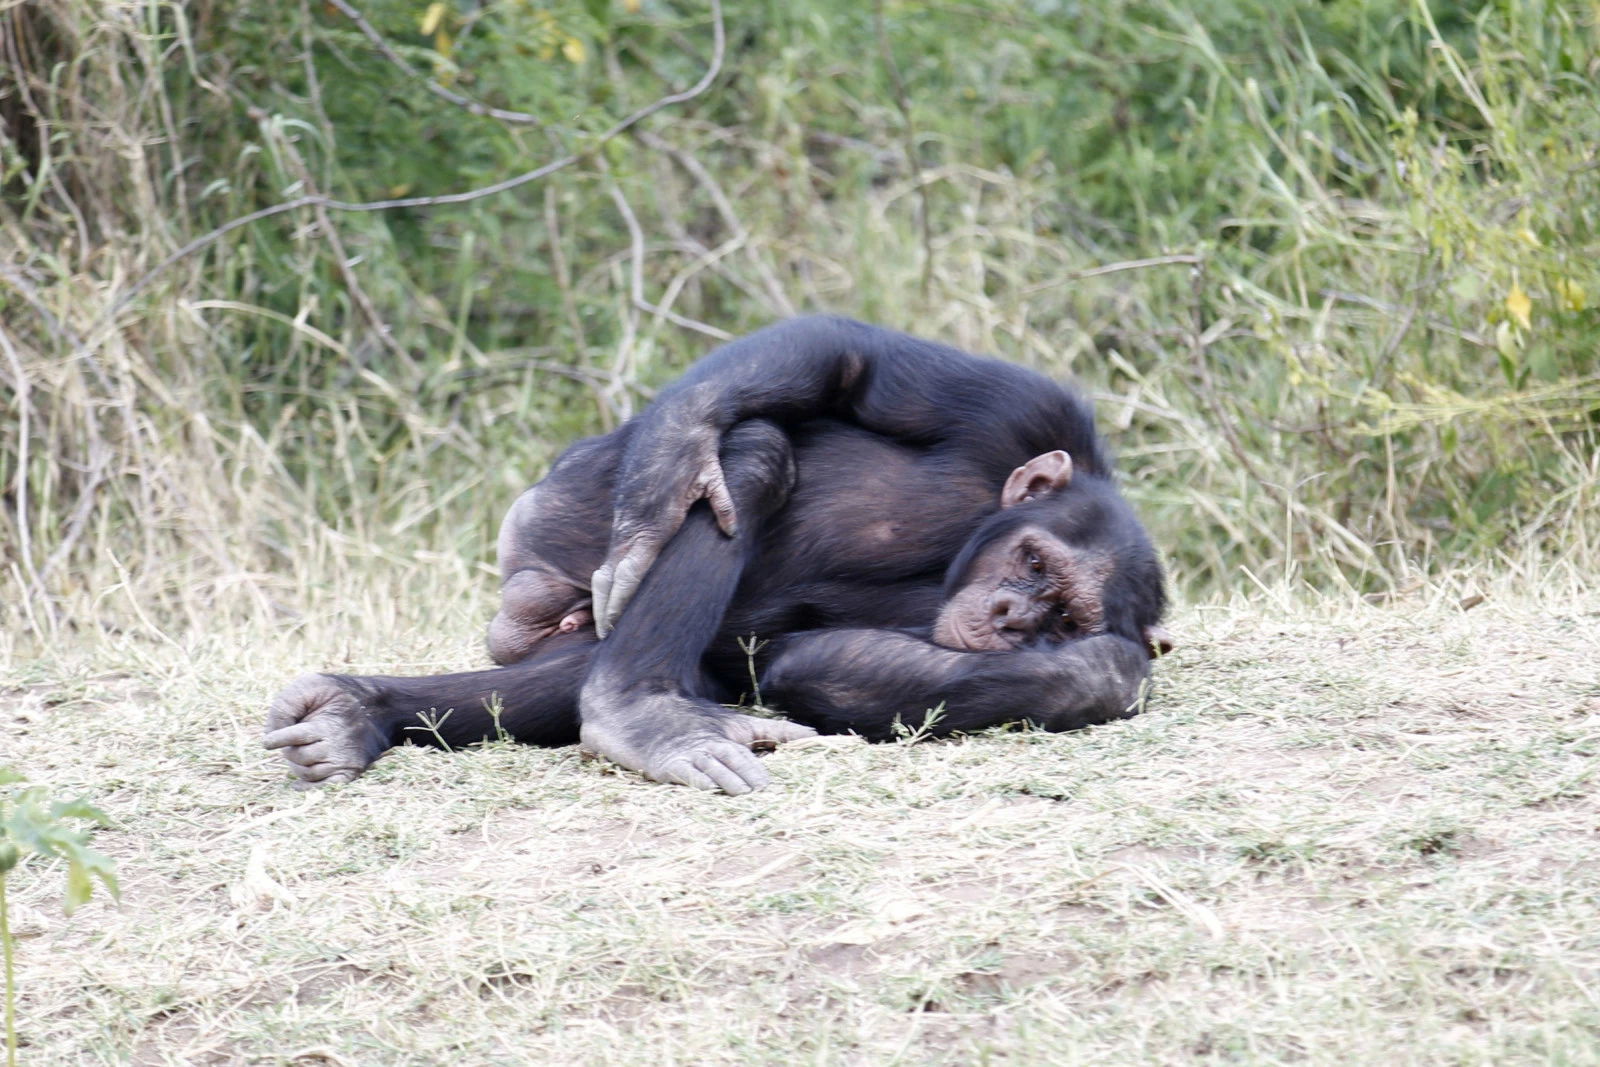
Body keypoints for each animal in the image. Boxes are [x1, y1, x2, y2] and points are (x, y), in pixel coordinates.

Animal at [259, 316, 1164, 793]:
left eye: (1063, 615)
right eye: (1034, 561)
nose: (1013, 612)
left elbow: (823, 664)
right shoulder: (1022, 414)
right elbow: (847, 358)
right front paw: (671, 467)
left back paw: (355, 714)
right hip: (556, 518)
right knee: (755, 447)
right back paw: (639, 710)